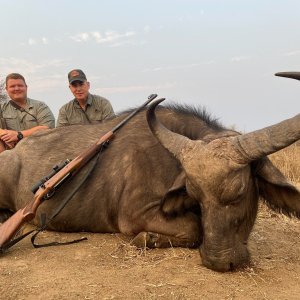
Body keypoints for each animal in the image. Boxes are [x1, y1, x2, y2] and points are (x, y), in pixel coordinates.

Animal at [0, 86, 298, 272]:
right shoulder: (135, 215)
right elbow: (194, 228)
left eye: (241, 191)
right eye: (196, 195)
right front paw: (148, 238)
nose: (219, 261)